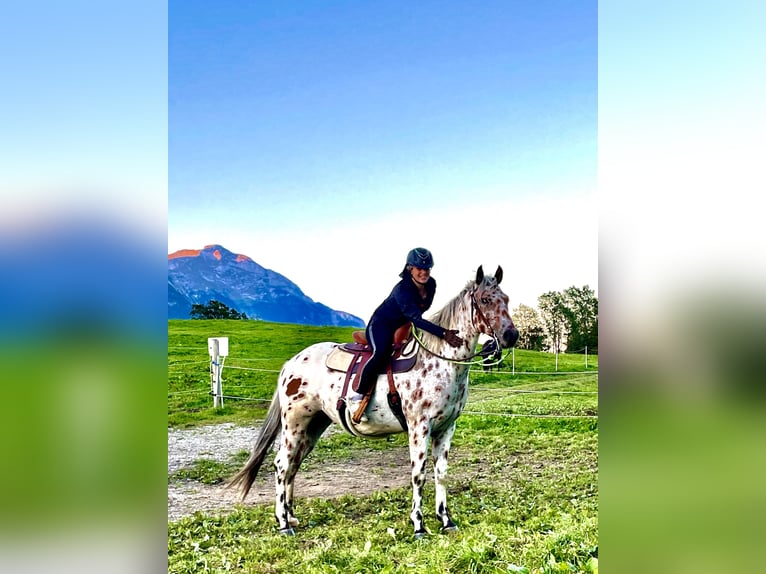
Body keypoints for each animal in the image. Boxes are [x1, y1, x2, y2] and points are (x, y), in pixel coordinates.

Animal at [225, 266, 520, 540]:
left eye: (506, 298)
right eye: (484, 300)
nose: (511, 336)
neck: (439, 361)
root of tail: (291, 363)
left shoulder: (446, 428)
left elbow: (442, 474)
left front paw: (446, 520)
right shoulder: (419, 427)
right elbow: (419, 474)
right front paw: (419, 525)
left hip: (313, 426)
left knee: (293, 466)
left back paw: (291, 515)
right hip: (294, 424)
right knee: (281, 465)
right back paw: (283, 523)